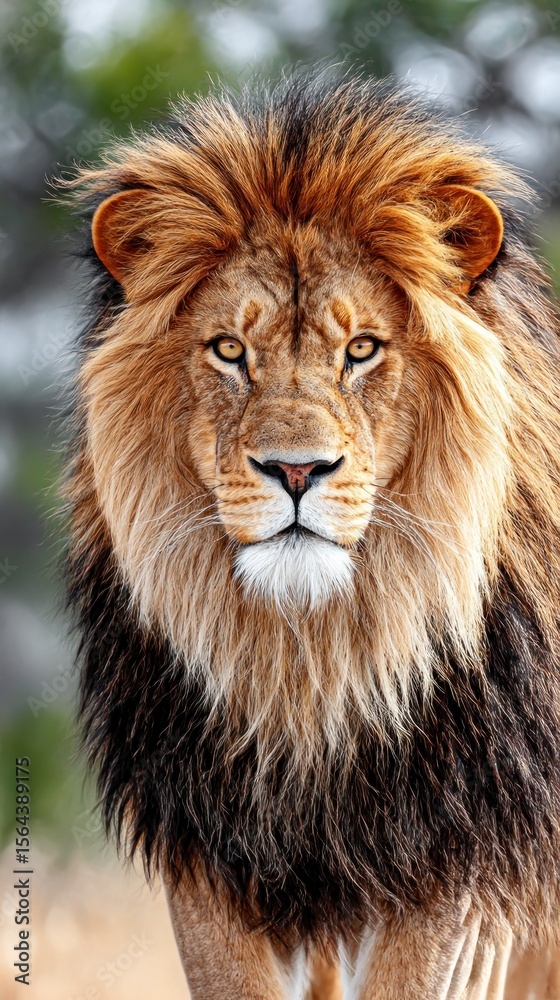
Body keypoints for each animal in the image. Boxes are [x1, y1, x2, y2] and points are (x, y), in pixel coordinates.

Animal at [60, 73, 560, 998]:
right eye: (229, 350)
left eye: (361, 349)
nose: (296, 472)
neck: (310, 666)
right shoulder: (212, 864)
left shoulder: (460, 870)